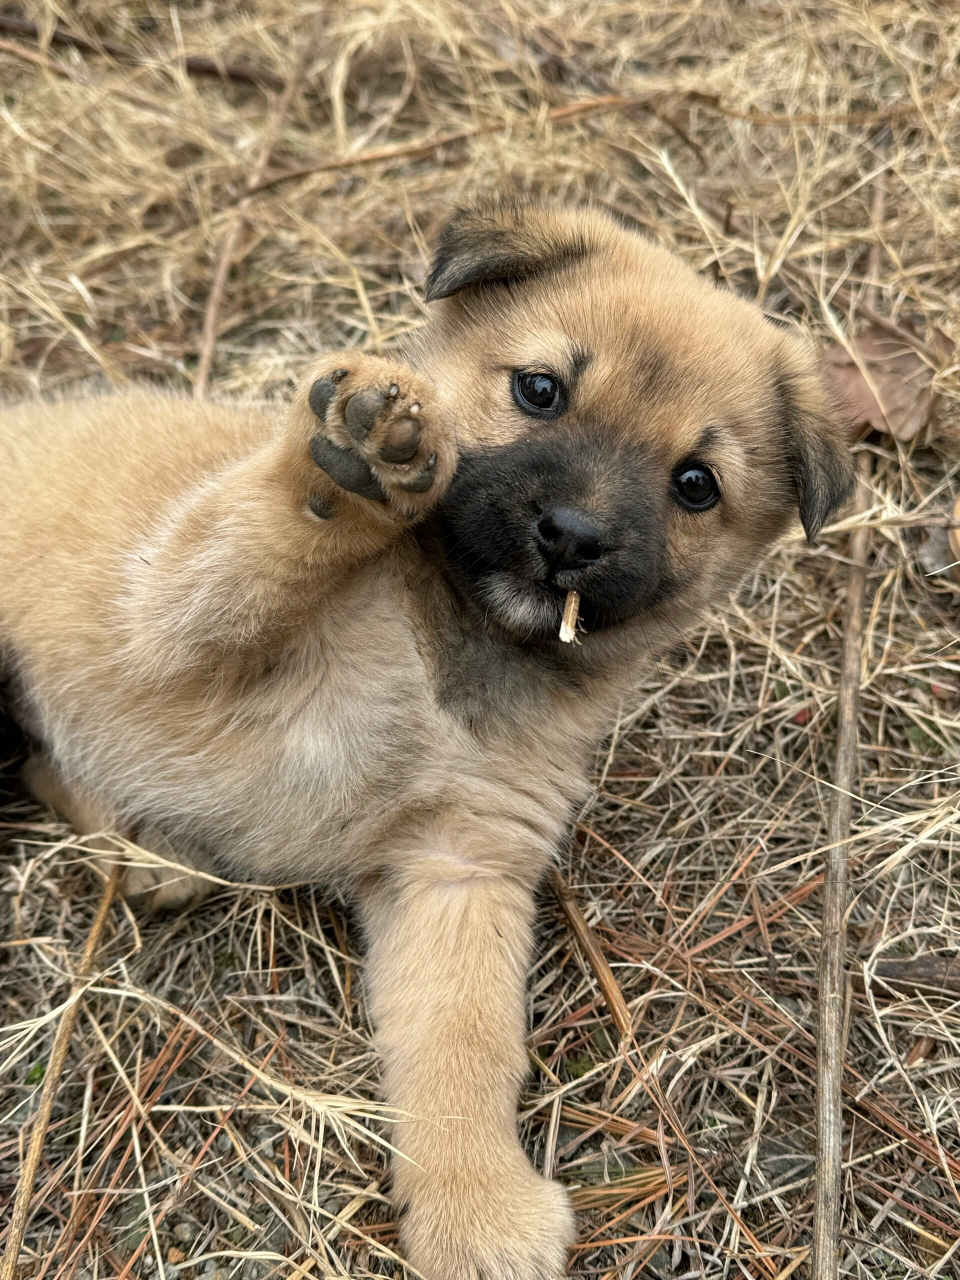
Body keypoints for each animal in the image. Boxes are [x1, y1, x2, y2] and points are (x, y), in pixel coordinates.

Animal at [1, 204, 855, 1274]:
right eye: (540, 389)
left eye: (695, 484)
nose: (571, 536)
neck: (452, 648)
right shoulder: (165, 626)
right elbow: (243, 551)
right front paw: (350, 468)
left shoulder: (459, 869)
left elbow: (465, 1049)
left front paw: (474, 1204)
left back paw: (148, 848)